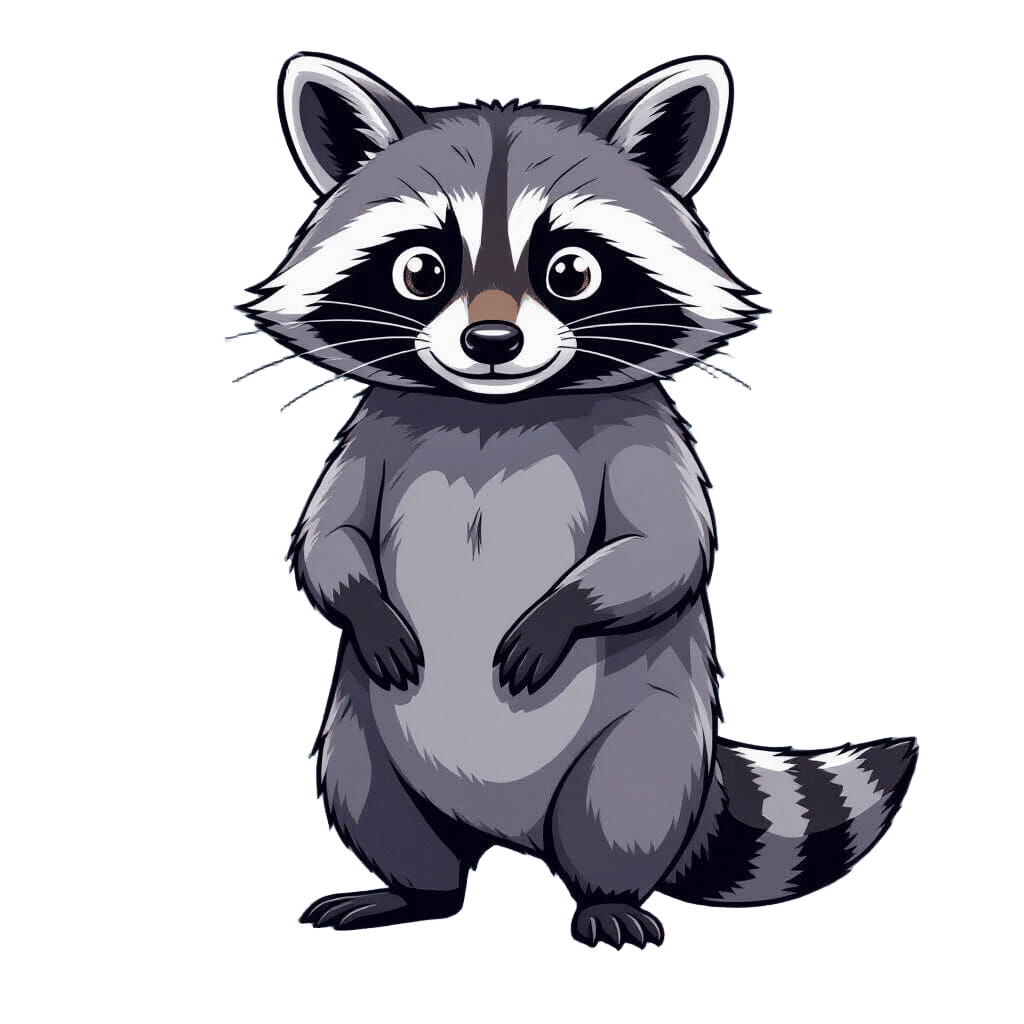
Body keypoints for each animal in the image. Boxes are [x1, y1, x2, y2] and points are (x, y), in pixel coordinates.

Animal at [238, 53, 918, 949]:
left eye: (570, 272)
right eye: (423, 271)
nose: (491, 342)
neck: (495, 410)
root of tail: (508, 832)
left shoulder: (640, 432)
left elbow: (667, 546)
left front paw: (562, 612)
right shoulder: (376, 430)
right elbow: (327, 533)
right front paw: (363, 603)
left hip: (648, 742)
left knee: (619, 811)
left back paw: (607, 897)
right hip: (359, 730)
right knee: (377, 802)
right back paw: (412, 891)